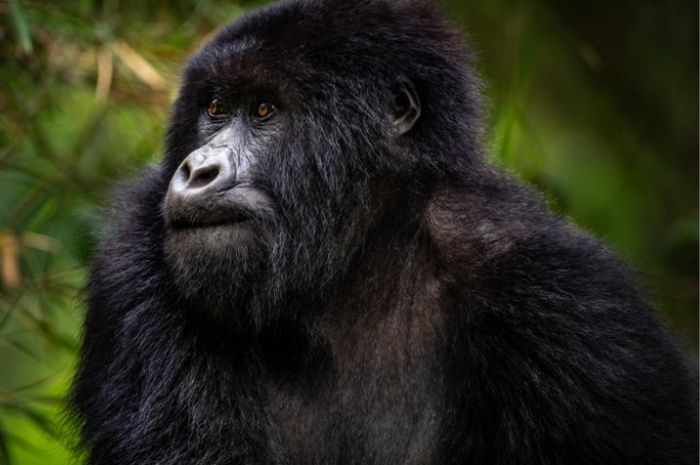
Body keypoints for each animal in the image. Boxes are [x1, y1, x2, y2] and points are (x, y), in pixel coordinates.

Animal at [69, 0, 696, 464]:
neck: (360, 259)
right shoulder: (135, 260)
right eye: (216, 108)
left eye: (265, 111)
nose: (198, 170)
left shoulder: (573, 304)